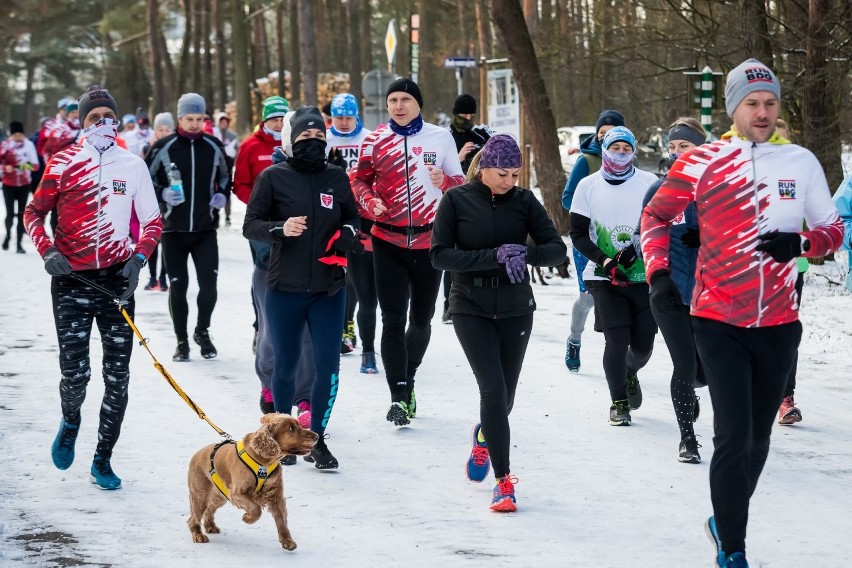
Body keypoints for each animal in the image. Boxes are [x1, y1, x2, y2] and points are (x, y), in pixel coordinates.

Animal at [187, 412, 320, 552]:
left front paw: (288, 541)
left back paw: (210, 526)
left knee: (209, 510)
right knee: (193, 518)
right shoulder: (238, 493)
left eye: (299, 425)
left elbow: (282, 520)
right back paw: (198, 535)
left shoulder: (276, 495)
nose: (317, 436)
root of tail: (196, 454)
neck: (265, 462)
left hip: (220, 497)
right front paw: (247, 518)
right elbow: (256, 509)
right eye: (291, 429)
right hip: (200, 496)